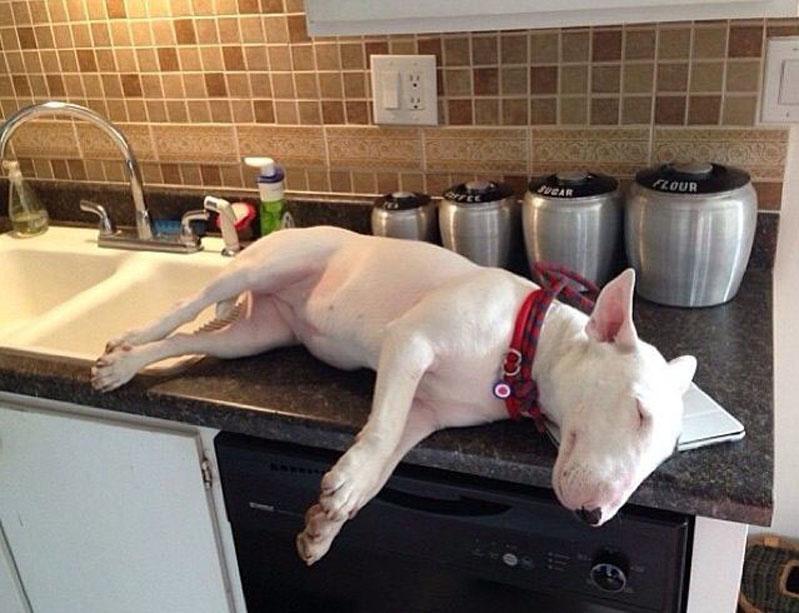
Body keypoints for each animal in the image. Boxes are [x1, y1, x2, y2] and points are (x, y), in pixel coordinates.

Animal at [90, 228, 696, 564]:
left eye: (665, 456)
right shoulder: (410, 342)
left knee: (195, 338)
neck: (524, 343)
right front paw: (343, 490)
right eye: (638, 410)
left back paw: (130, 361)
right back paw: (125, 348)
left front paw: (329, 521)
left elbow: (386, 457)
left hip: (253, 338)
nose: (594, 517)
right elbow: (382, 431)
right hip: (266, 265)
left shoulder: (424, 413)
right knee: (187, 304)